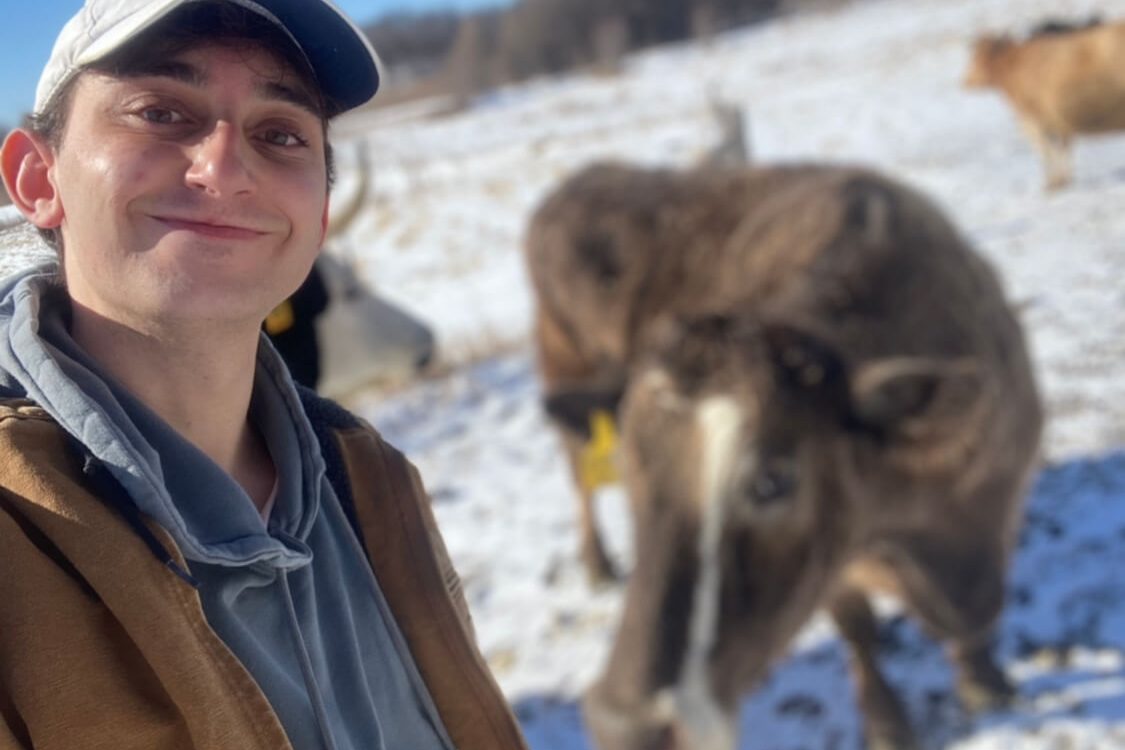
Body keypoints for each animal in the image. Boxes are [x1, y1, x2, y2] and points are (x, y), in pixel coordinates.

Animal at [580, 169, 1044, 750]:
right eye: (629, 468)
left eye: (773, 481)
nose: (622, 724)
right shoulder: (837, 566)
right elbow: (858, 630)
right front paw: (887, 724)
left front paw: (983, 678)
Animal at [963, 19, 1125, 191]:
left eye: (976, 56)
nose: (964, 81)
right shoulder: (1057, 122)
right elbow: (1062, 148)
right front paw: (1063, 180)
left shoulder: (1032, 120)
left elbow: (1046, 151)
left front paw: (1052, 183)